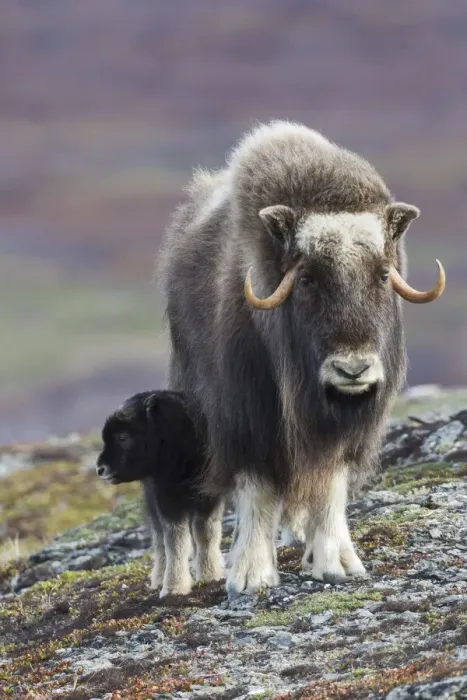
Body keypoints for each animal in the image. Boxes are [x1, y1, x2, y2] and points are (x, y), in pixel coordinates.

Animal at [159, 120, 445, 597]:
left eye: (382, 275)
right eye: (308, 278)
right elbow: (257, 489)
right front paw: (251, 575)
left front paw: (337, 564)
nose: (353, 369)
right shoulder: (246, 416)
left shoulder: (339, 431)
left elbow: (329, 487)